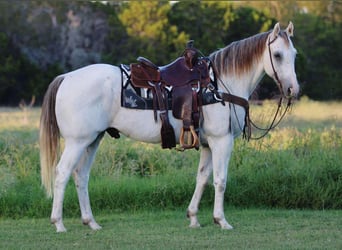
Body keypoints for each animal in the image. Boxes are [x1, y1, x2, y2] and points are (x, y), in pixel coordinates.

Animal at [39, 22, 296, 231]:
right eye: (277, 54)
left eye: (293, 54)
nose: (293, 90)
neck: (219, 85)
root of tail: (66, 77)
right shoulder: (221, 141)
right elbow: (220, 181)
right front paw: (221, 220)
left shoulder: (207, 144)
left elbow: (202, 179)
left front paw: (193, 218)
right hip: (78, 142)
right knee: (62, 174)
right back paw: (59, 223)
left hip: (93, 139)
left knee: (81, 175)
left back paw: (90, 222)